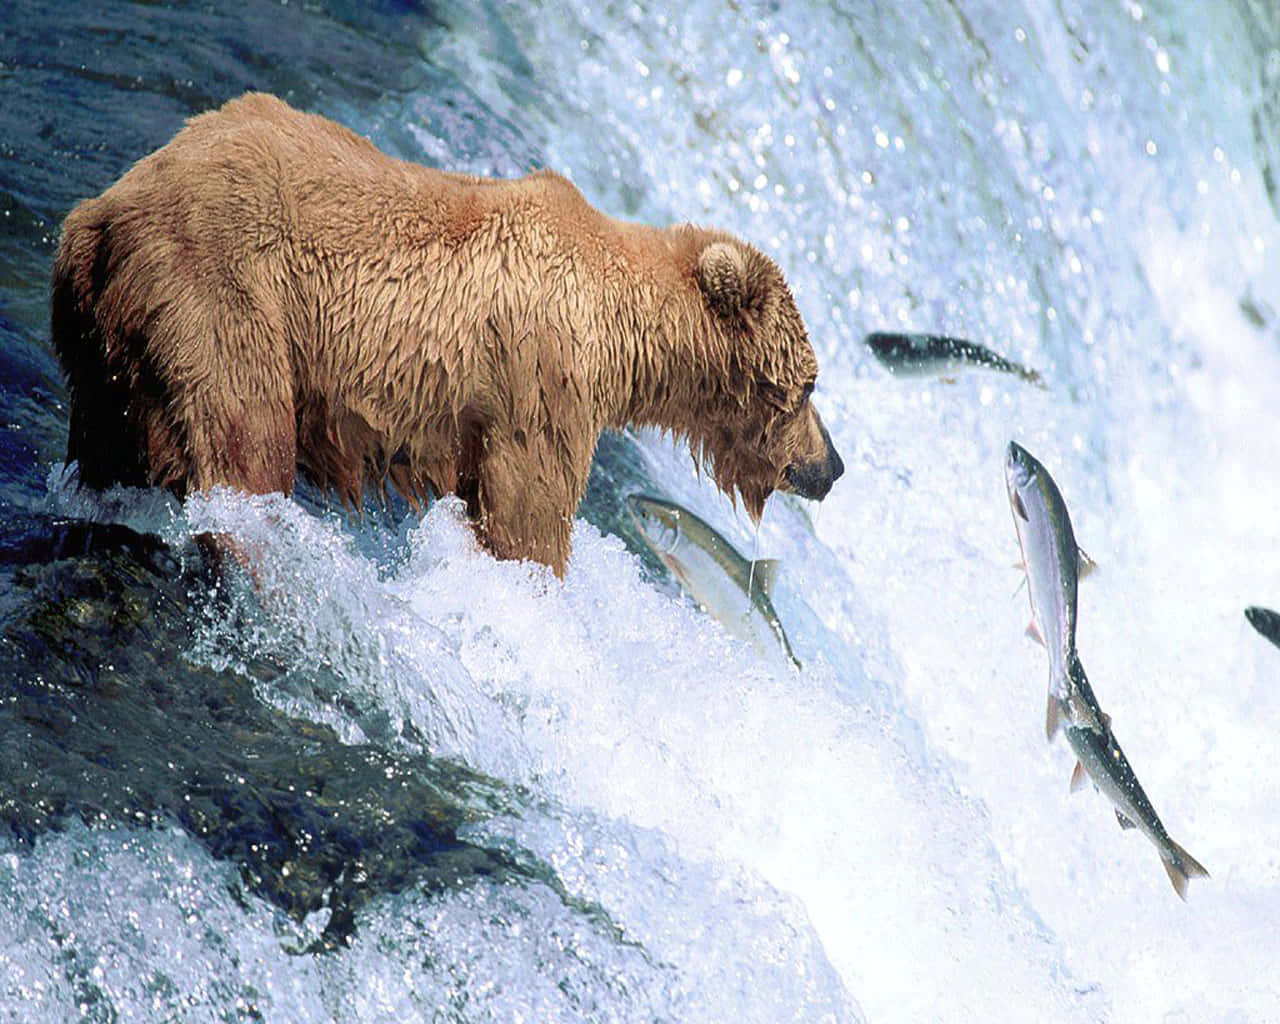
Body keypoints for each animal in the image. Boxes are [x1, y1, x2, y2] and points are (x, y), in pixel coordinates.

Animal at [51, 92, 843, 577]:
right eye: (808, 385)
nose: (830, 465)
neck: (624, 336)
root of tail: (101, 211)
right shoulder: (541, 380)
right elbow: (527, 519)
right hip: (223, 292)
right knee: (245, 445)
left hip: (106, 343)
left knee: (111, 442)